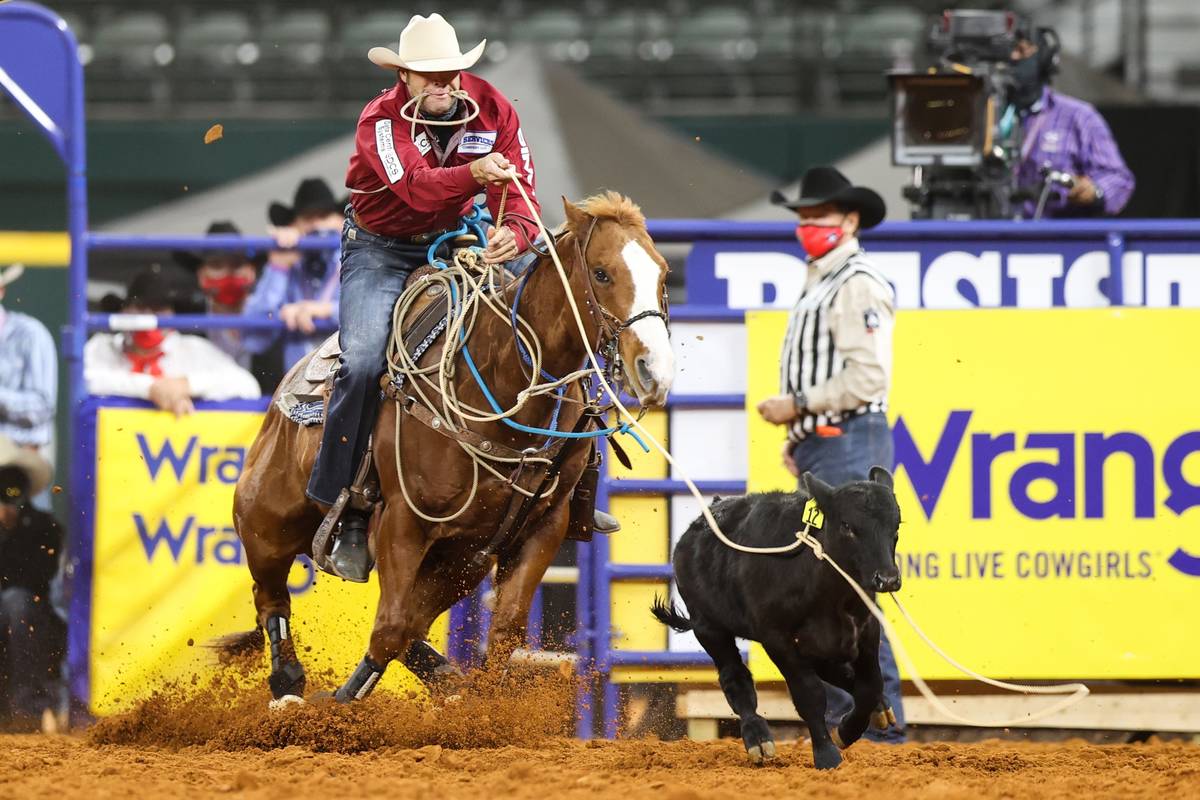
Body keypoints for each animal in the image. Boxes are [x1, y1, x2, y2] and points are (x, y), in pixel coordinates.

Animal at [220, 191, 672, 700]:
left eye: (662, 274)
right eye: (601, 273)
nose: (655, 370)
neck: (503, 381)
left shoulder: (543, 526)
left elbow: (503, 631)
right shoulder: (403, 522)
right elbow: (389, 629)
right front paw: (341, 704)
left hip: (460, 561)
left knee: (413, 625)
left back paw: (444, 678)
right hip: (266, 527)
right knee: (272, 599)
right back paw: (289, 685)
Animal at [657, 470, 902, 767]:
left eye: (896, 525)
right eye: (847, 525)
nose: (887, 578)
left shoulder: (866, 629)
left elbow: (870, 686)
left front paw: (847, 730)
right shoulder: (777, 639)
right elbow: (809, 694)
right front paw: (827, 754)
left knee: (838, 673)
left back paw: (881, 707)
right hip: (709, 628)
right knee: (735, 679)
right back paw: (758, 738)